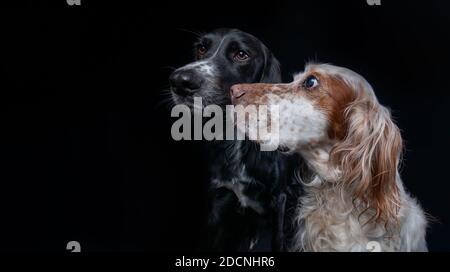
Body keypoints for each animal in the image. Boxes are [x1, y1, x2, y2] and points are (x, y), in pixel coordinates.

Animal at [169, 29, 298, 251]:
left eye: (241, 54)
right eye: (201, 48)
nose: (180, 81)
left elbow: (278, 239)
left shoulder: (279, 198)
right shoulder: (217, 201)